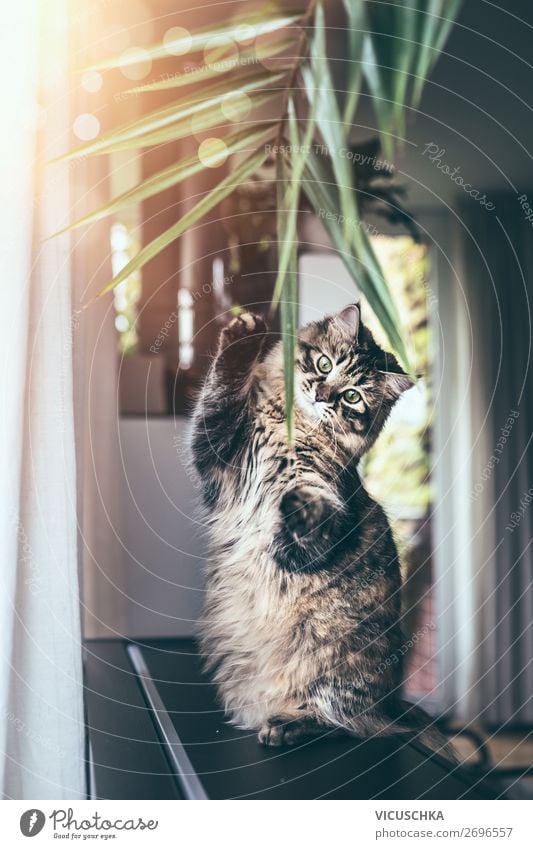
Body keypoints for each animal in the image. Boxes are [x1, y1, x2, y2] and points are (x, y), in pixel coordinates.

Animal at [189, 304, 450, 756]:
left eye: (352, 396)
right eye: (325, 365)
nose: (322, 395)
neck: (288, 429)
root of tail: (392, 703)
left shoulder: (306, 526)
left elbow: (307, 517)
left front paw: (301, 506)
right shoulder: (219, 453)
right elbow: (221, 390)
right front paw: (242, 333)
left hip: (335, 673)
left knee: (350, 725)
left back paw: (285, 727)